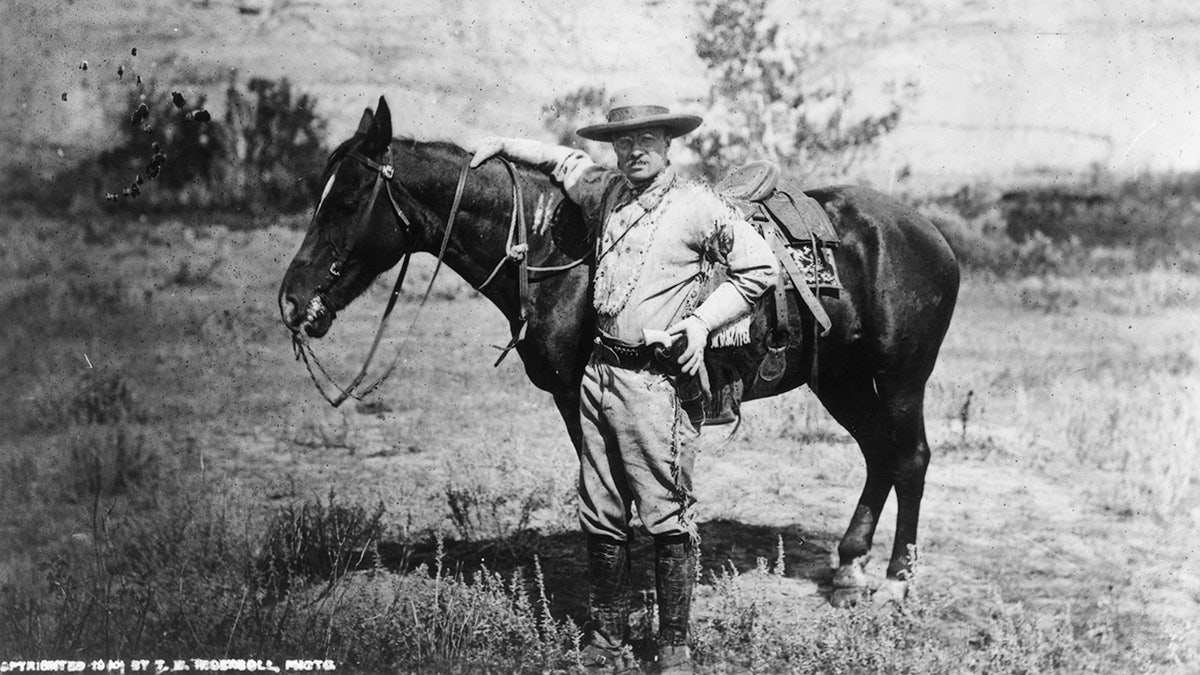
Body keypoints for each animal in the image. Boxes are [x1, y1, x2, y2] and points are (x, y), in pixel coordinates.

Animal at [278, 96, 955, 605]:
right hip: (840, 378)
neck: (554, 251)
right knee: (878, 454)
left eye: (345, 200)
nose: (292, 300)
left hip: (901, 379)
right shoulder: (576, 400)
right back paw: (850, 569)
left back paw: (896, 582)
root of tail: (929, 233)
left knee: (910, 457)